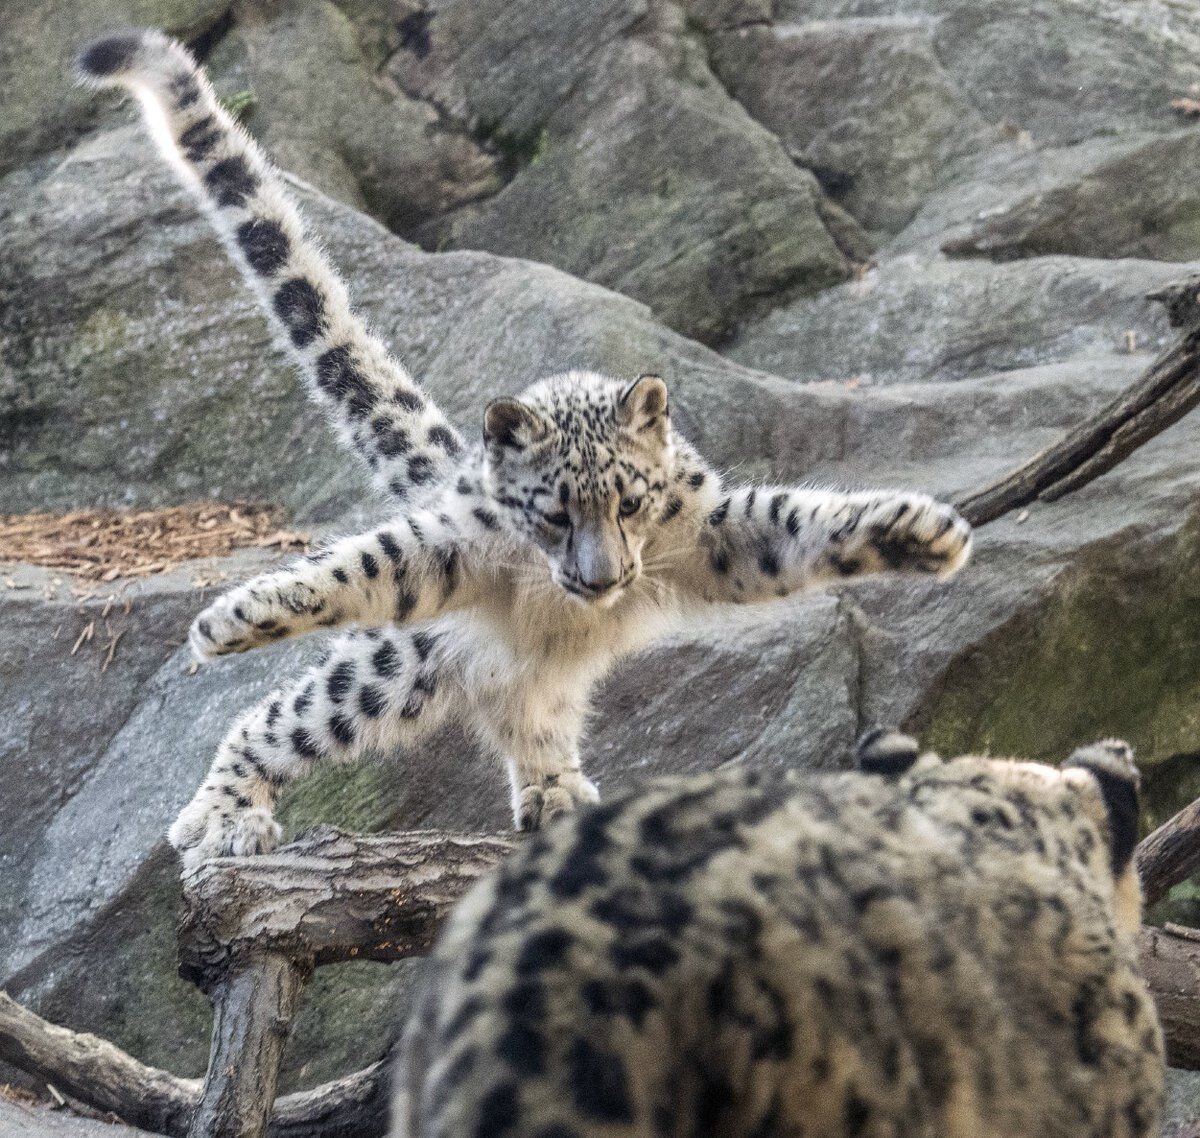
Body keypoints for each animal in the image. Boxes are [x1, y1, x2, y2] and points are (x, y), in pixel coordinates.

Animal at [77, 28, 974, 869]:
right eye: (552, 514)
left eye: (632, 503)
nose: (602, 580)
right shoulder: (451, 546)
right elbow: (367, 563)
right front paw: (235, 615)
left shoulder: (712, 530)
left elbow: (794, 524)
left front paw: (923, 533)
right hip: (398, 666)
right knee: (279, 716)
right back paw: (225, 815)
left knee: (525, 717)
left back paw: (557, 791)